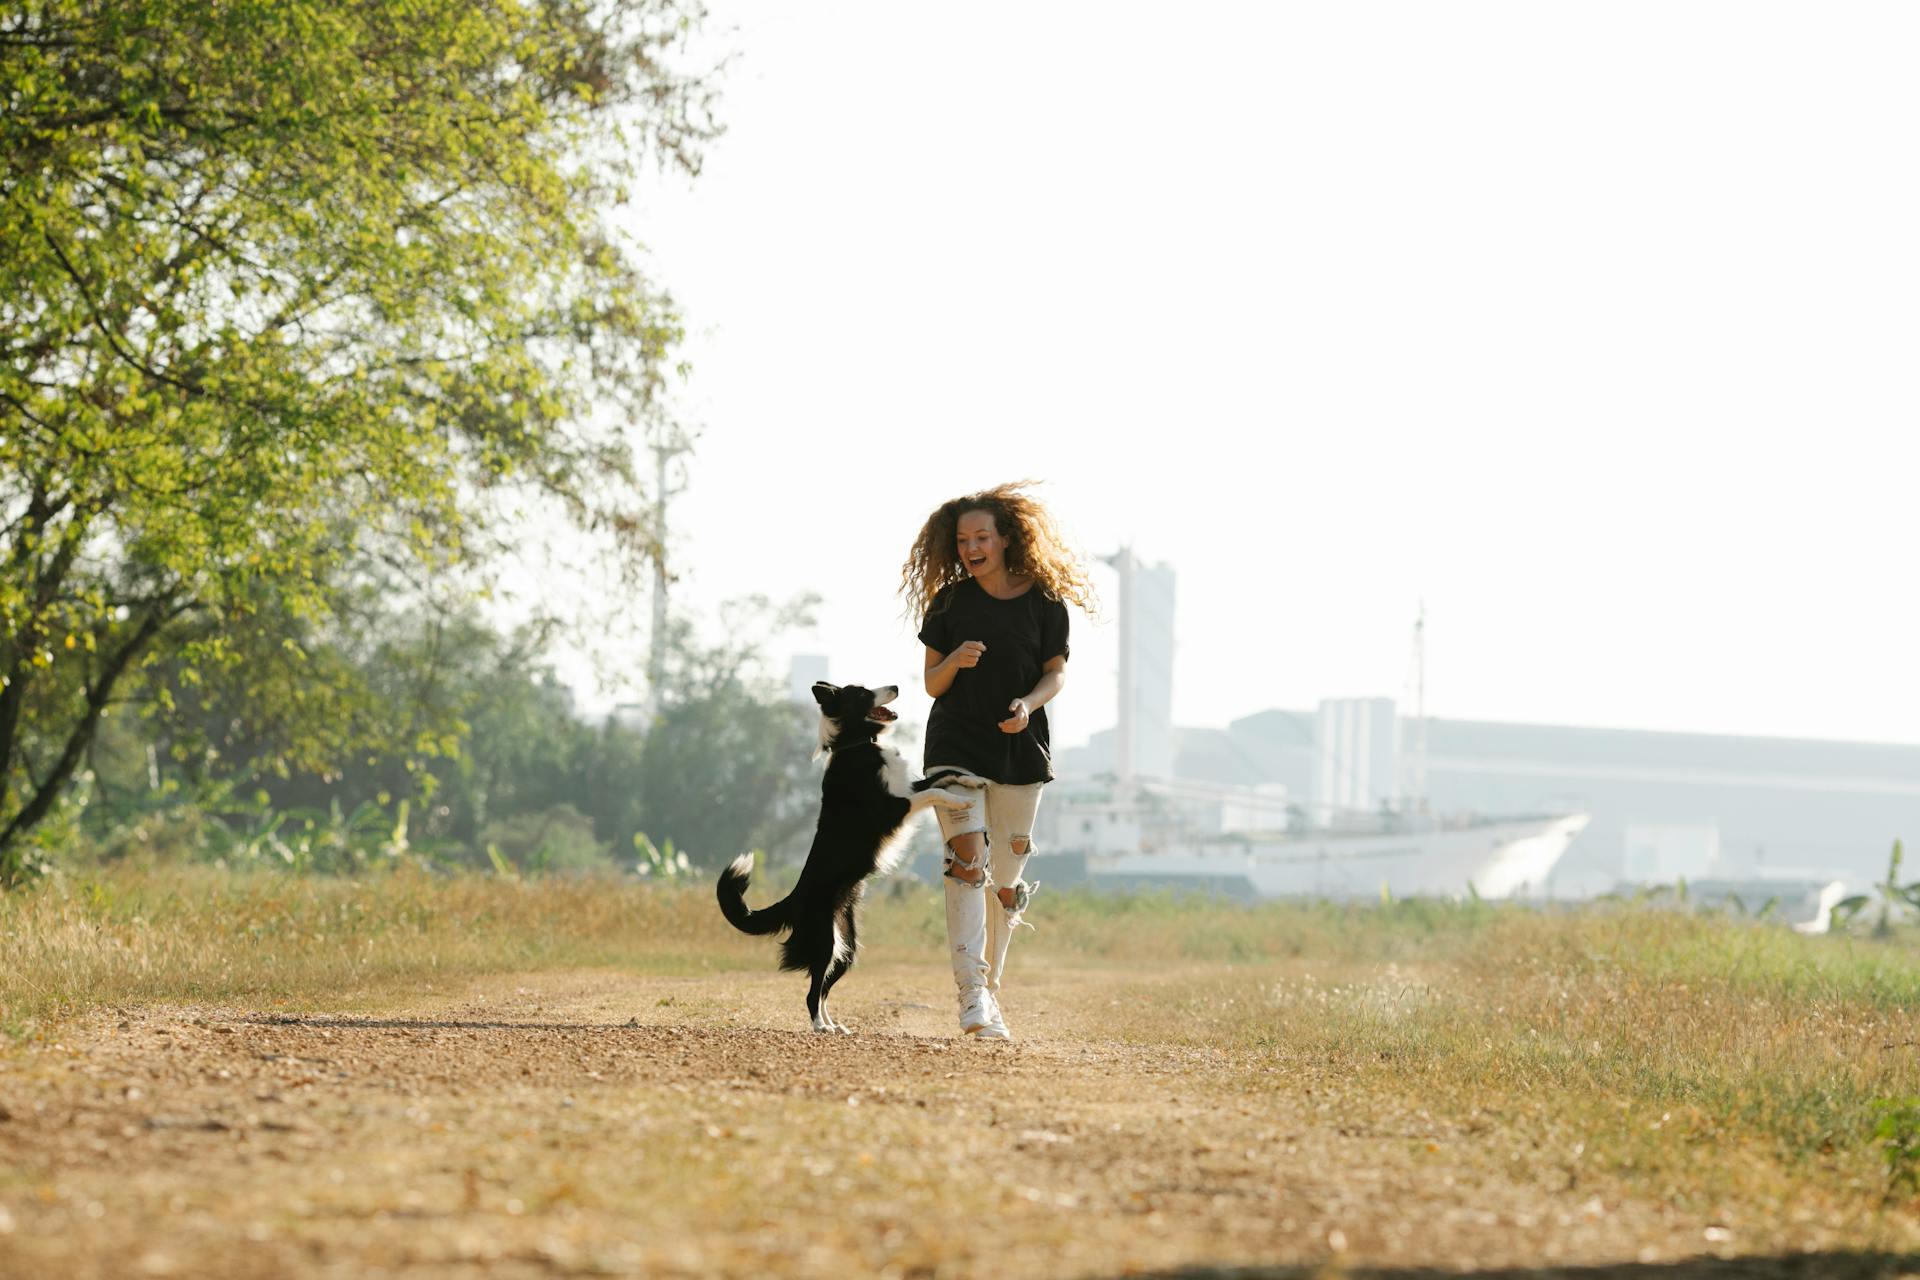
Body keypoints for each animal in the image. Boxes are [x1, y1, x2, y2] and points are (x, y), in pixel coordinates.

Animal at [714, 679, 967, 1028]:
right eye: (861, 693)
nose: (895, 686)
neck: (855, 744)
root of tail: (793, 899)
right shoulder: (892, 808)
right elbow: (933, 792)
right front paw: (959, 800)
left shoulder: (906, 789)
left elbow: (935, 779)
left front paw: (966, 778)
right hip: (825, 941)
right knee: (812, 992)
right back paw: (820, 1027)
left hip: (847, 947)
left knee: (823, 990)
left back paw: (834, 1026)